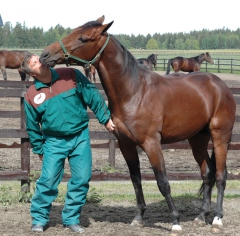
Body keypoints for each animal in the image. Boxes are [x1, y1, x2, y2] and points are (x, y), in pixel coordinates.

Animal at [39, 15, 236, 234]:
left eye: (82, 38)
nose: (45, 55)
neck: (134, 92)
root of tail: (219, 85)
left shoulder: (151, 144)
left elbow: (163, 182)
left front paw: (175, 221)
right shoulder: (126, 144)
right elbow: (136, 179)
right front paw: (139, 218)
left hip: (220, 137)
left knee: (221, 175)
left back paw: (217, 218)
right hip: (197, 139)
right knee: (207, 173)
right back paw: (201, 216)